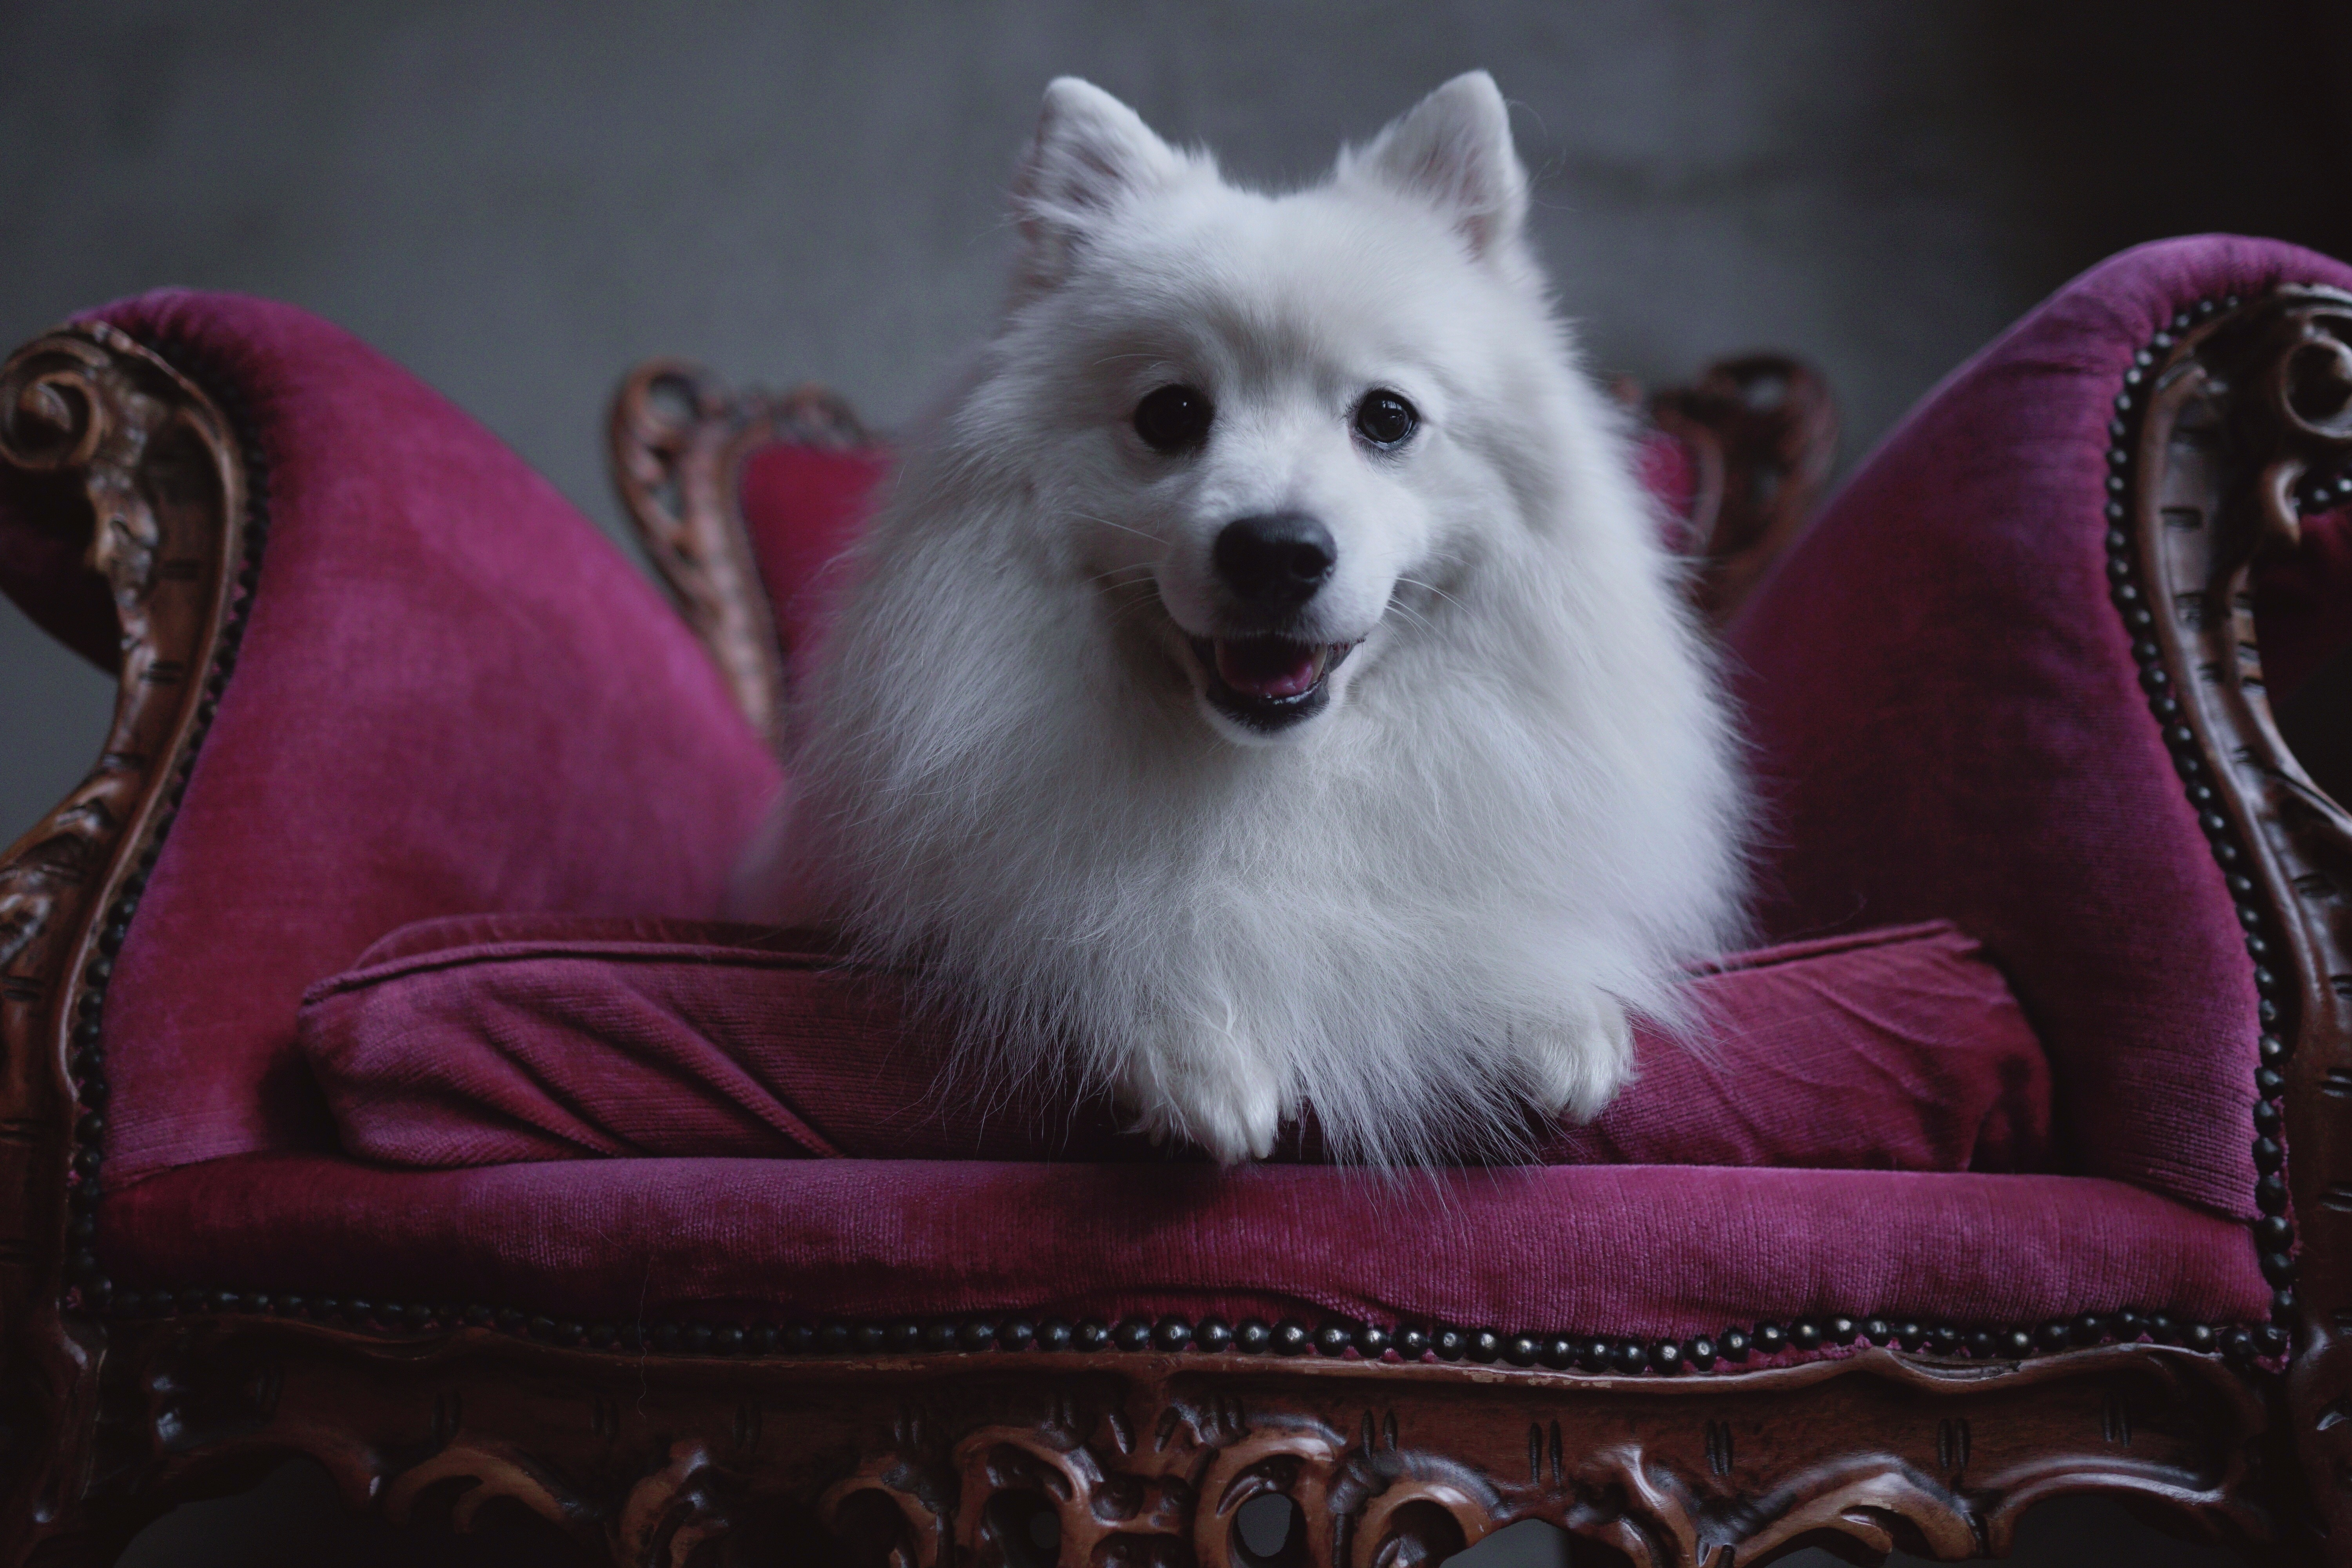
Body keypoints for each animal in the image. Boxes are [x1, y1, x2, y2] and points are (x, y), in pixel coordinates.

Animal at [734, 67, 1750, 1166]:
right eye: (1170, 414)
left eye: (1387, 418)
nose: (1276, 550)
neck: (1272, 774)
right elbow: (1087, 931)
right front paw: (1194, 1040)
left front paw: (1553, 1003)